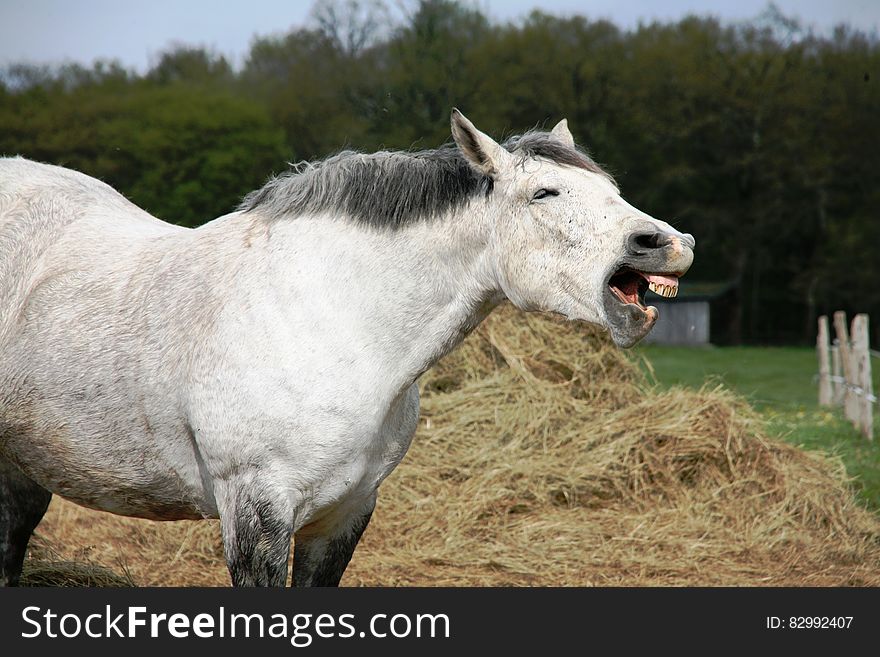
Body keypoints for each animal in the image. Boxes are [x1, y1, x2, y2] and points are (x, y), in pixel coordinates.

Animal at [0, 110, 696, 588]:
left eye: (610, 190)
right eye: (543, 194)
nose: (666, 244)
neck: (335, 321)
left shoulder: (345, 514)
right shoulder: (255, 513)